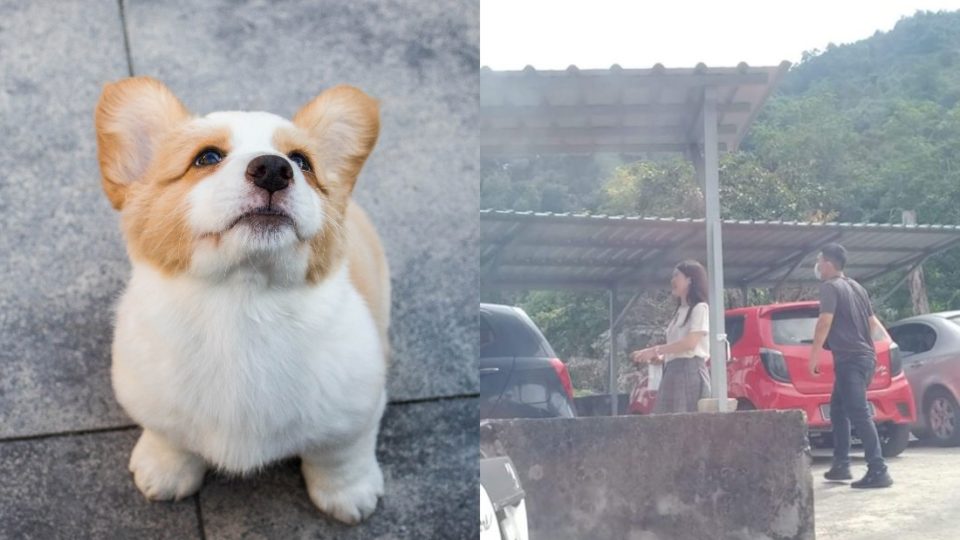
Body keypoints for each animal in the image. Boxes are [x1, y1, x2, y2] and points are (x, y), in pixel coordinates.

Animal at [92, 78, 388, 524]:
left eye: (302, 162)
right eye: (207, 157)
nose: (274, 169)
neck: (243, 302)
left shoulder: (355, 411)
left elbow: (338, 456)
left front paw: (348, 495)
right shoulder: (154, 402)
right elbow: (171, 439)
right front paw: (164, 472)